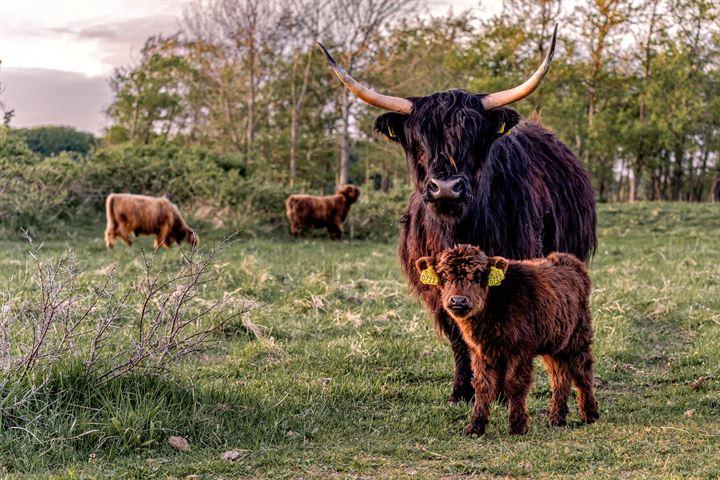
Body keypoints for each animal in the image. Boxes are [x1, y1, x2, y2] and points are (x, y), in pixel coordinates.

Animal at [320, 24, 596, 404]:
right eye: (418, 141)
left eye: (475, 139)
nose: (446, 188)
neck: (457, 230)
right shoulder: (438, 288)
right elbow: (458, 332)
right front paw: (462, 390)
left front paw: (500, 391)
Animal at [414, 246, 600, 436]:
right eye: (443, 276)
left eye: (478, 276)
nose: (458, 300)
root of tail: (570, 260)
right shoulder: (480, 352)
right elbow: (482, 386)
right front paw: (475, 427)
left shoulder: (520, 350)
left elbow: (514, 385)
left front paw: (517, 426)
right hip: (554, 343)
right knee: (560, 376)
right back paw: (556, 418)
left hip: (578, 337)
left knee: (582, 372)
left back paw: (590, 414)